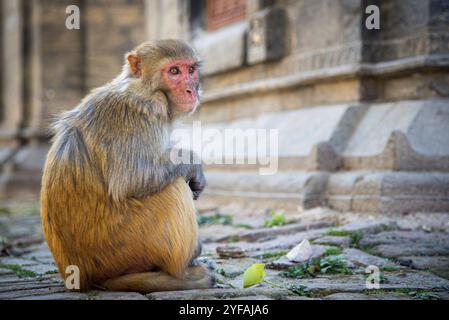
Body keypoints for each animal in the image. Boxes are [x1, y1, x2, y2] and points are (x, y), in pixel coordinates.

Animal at [40, 40, 214, 292]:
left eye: (191, 70)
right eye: (174, 71)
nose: (192, 89)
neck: (143, 86)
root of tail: (85, 277)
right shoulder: (140, 109)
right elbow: (132, 179)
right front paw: (193, 164)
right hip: (126, 247)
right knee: (173, 187)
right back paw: (182, 274)